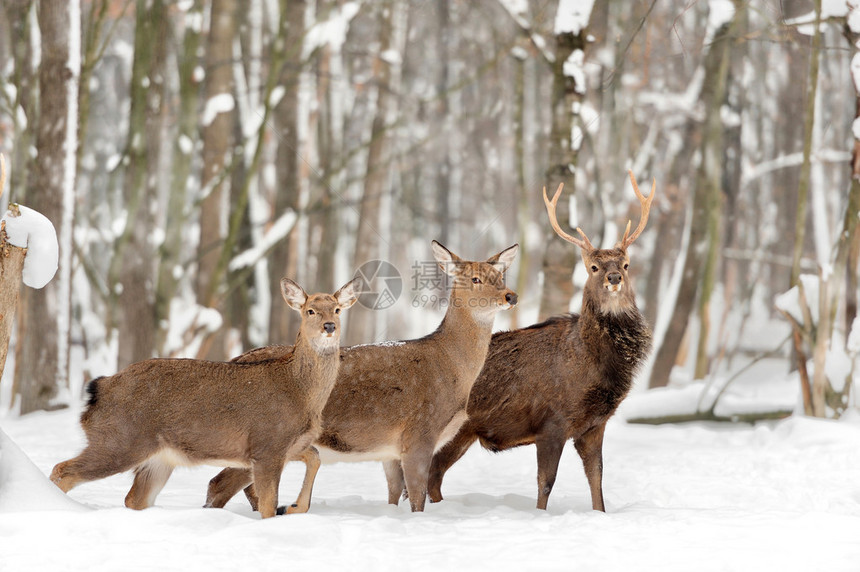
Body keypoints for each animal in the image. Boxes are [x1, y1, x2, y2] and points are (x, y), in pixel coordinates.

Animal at [50, 278, 360, 520]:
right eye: (310, 310)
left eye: (337, 309)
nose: (329, 326)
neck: (300, 393)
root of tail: (98, 389)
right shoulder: (267, 444)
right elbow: (268, 505)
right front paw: (283, 511)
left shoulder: (288, 445)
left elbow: (314, 457)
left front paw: (295, 507)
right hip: (119, 441)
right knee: (62, 470)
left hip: (158, 457)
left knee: (133, 499)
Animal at [205, 239, 520, 512]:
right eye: (475, 279)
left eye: (500, 275)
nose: (510, 295)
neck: (452, 369)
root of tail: (236, 358)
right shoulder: (420, 430)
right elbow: (417, 498)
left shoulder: (390, 450)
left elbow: (395, 495)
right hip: (263, 436)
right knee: (218, 484)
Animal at [426, 172, 656, 512]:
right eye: (593, 267)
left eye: (626, 265)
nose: (613, 278)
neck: (591, 365)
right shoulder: (552, 421)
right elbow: (546, 482)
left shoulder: (594, 425)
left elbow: (597, 478)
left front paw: (600, 513)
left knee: (433, 473)